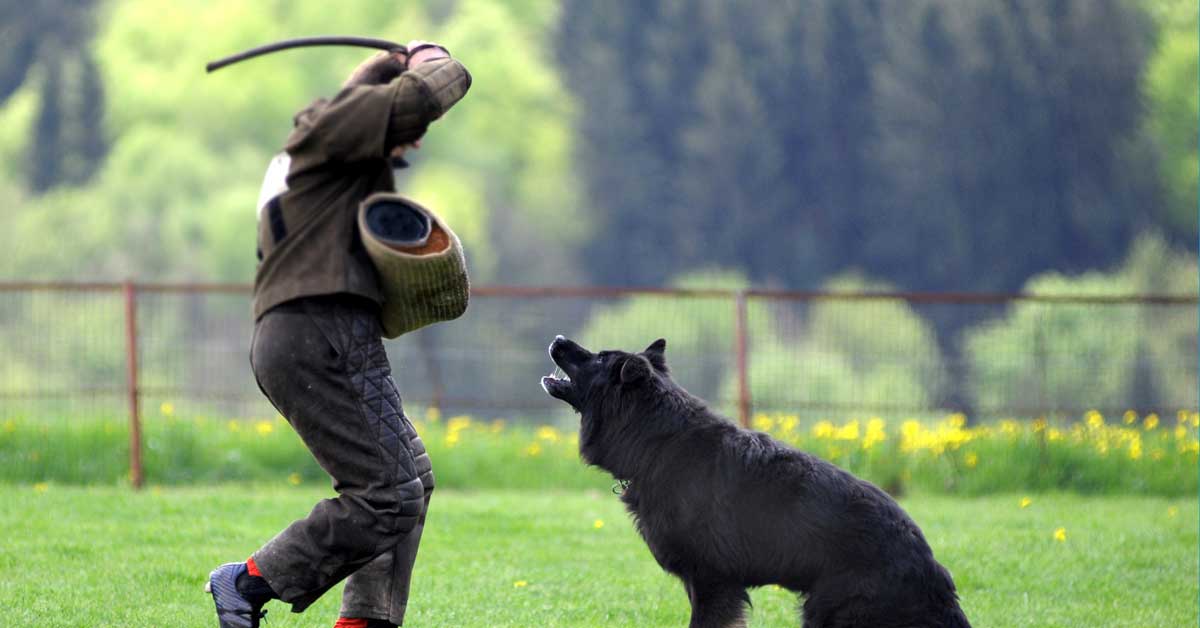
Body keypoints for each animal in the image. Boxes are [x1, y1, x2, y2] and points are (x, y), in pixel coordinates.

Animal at [540, 336, 969, 628]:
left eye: (599, 357)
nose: (558, 339)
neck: (656, 440)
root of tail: (930, 566)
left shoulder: (712, 580)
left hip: (829, 610)